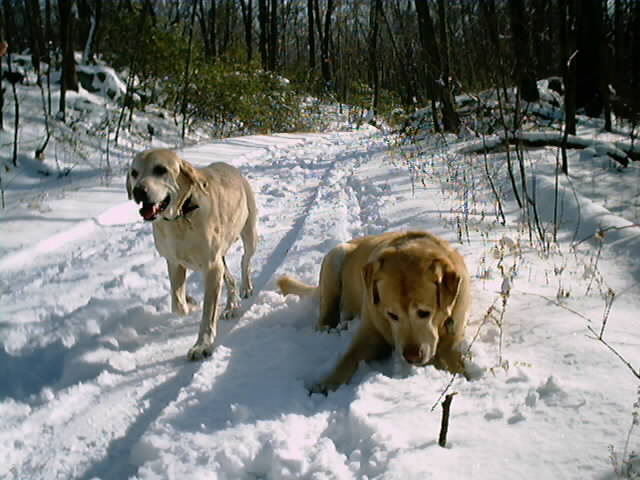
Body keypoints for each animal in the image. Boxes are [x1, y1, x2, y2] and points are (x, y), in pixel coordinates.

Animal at [127, 150, 258, 360]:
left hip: (249, 235)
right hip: (219, 258)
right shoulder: (174, 262)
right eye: (134, 172)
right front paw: (190, 302)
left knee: (245, 260)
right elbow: (177, 303)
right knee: (230, 278)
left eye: (160, 169)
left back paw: (246, 287)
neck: (181, 217)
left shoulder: (212, 267)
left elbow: (208, 313)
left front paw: (202, 345)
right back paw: (231, 305)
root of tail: (232, 169)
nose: (139, 191)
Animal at [276, 231, 470, 392]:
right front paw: (326, 385)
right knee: (325, 318)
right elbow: (349, 358)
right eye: (392, 315)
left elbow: (456, 364)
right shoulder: (370, 333)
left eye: (424, 313)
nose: (412, 357)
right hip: (335, 257)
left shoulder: (453, 337)